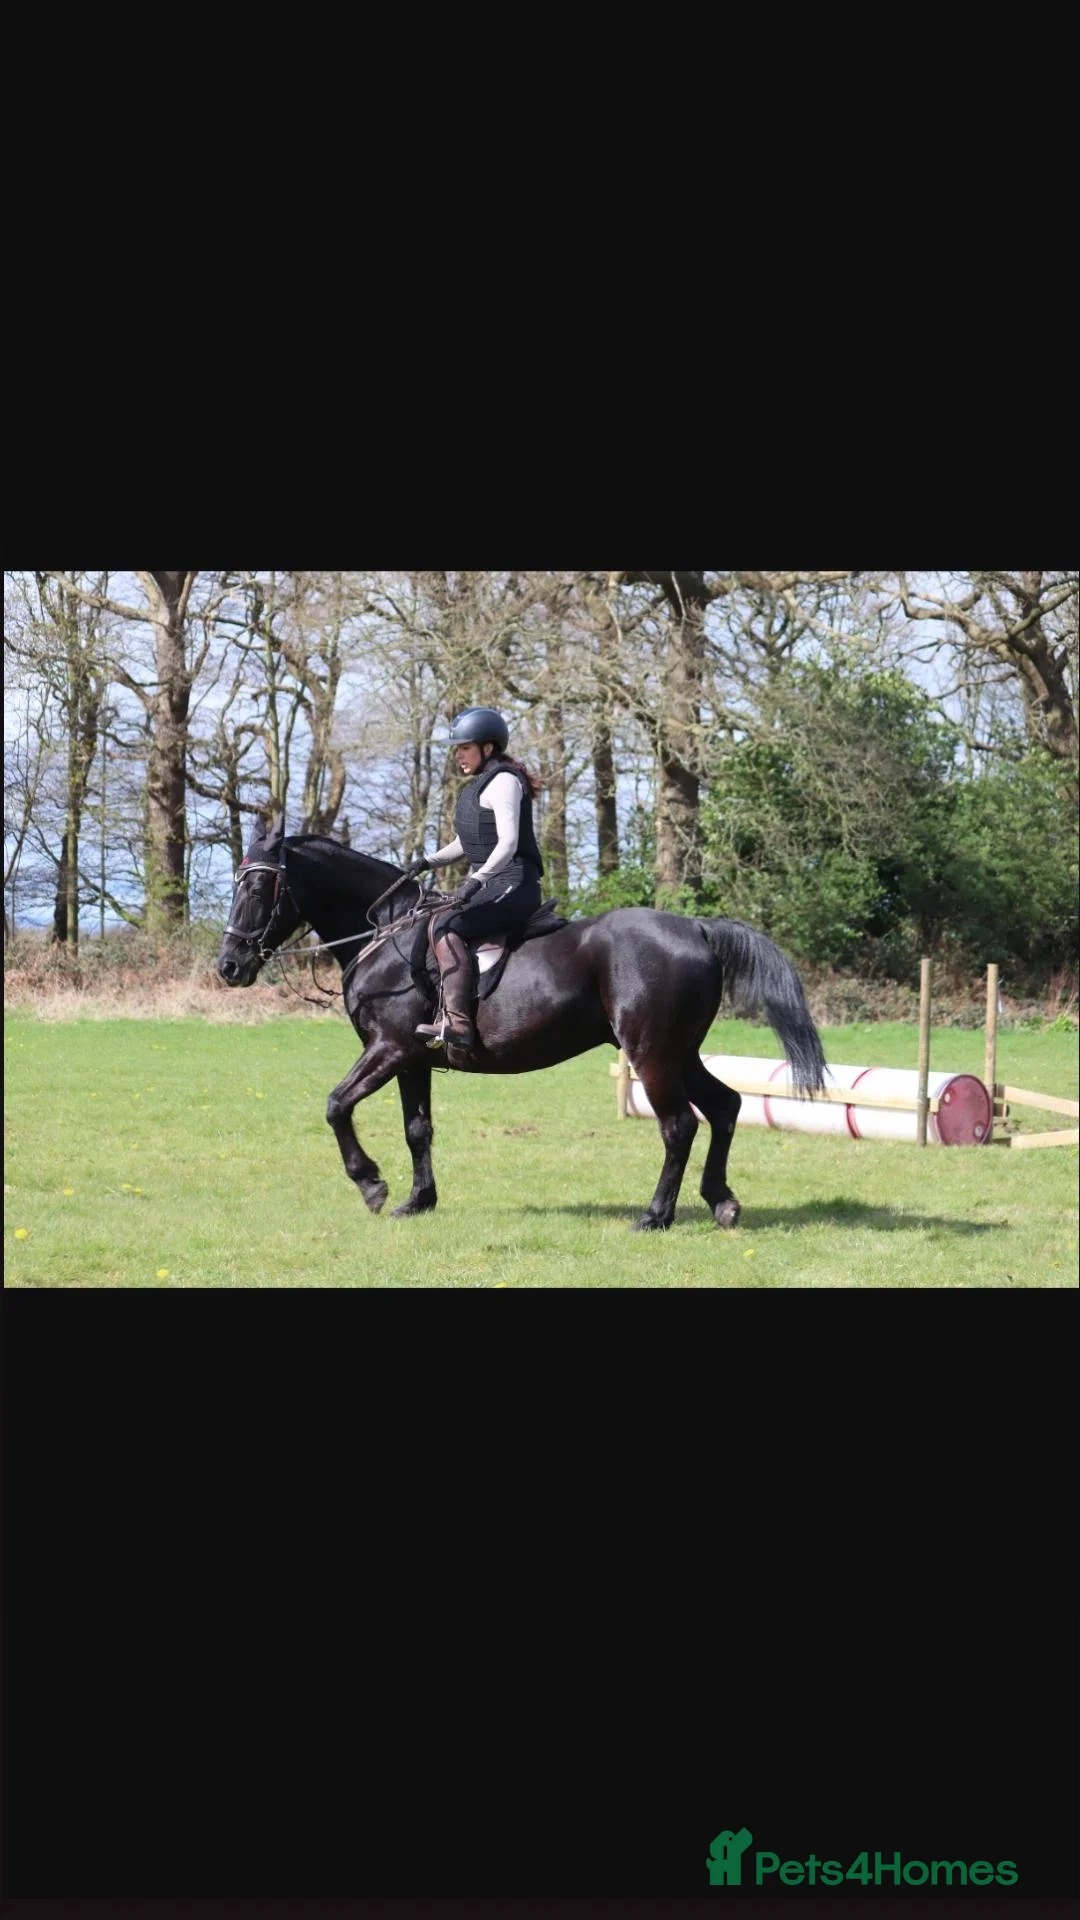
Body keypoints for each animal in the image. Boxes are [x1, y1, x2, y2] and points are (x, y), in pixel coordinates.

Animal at [216, 812, 827, 1231]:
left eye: (257, 886)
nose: (229, 966)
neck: (385, 934)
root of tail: (697, 927)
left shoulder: (388, 1048)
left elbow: (336, 1105)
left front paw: (371, 1184)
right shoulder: (412, 1058)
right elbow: (418, 1130)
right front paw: (418, 1201)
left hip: (651, 1054)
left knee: (679, 1125)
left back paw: (655, 1215)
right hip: (680, 1052)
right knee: (724, 1106)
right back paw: (721, 1201)